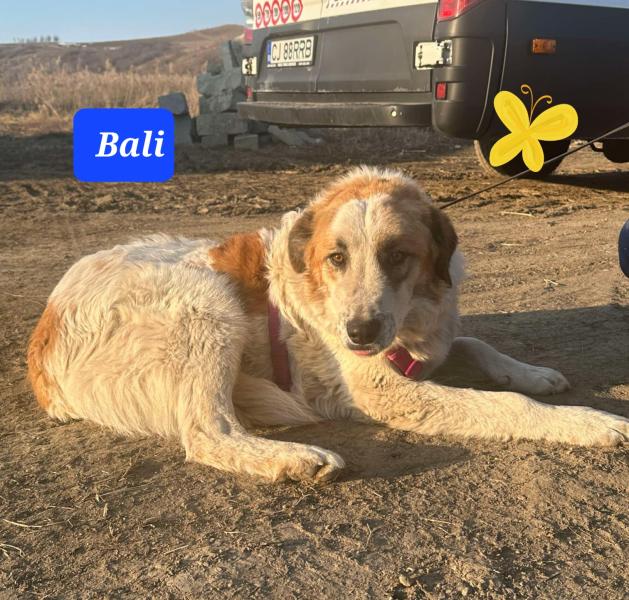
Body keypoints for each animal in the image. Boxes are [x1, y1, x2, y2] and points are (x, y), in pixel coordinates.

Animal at [28, 167, 629, 482]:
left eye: (397, 256)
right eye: (335, 259)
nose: (357, 335)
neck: (413, 316)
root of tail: (42, 336)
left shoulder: (430, 342)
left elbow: (474, 341)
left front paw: (531, 372)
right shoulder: (385, 389)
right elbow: (507, 404)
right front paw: (590, 422)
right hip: (209, 302)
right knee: (206, 433)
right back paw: (296, 459)